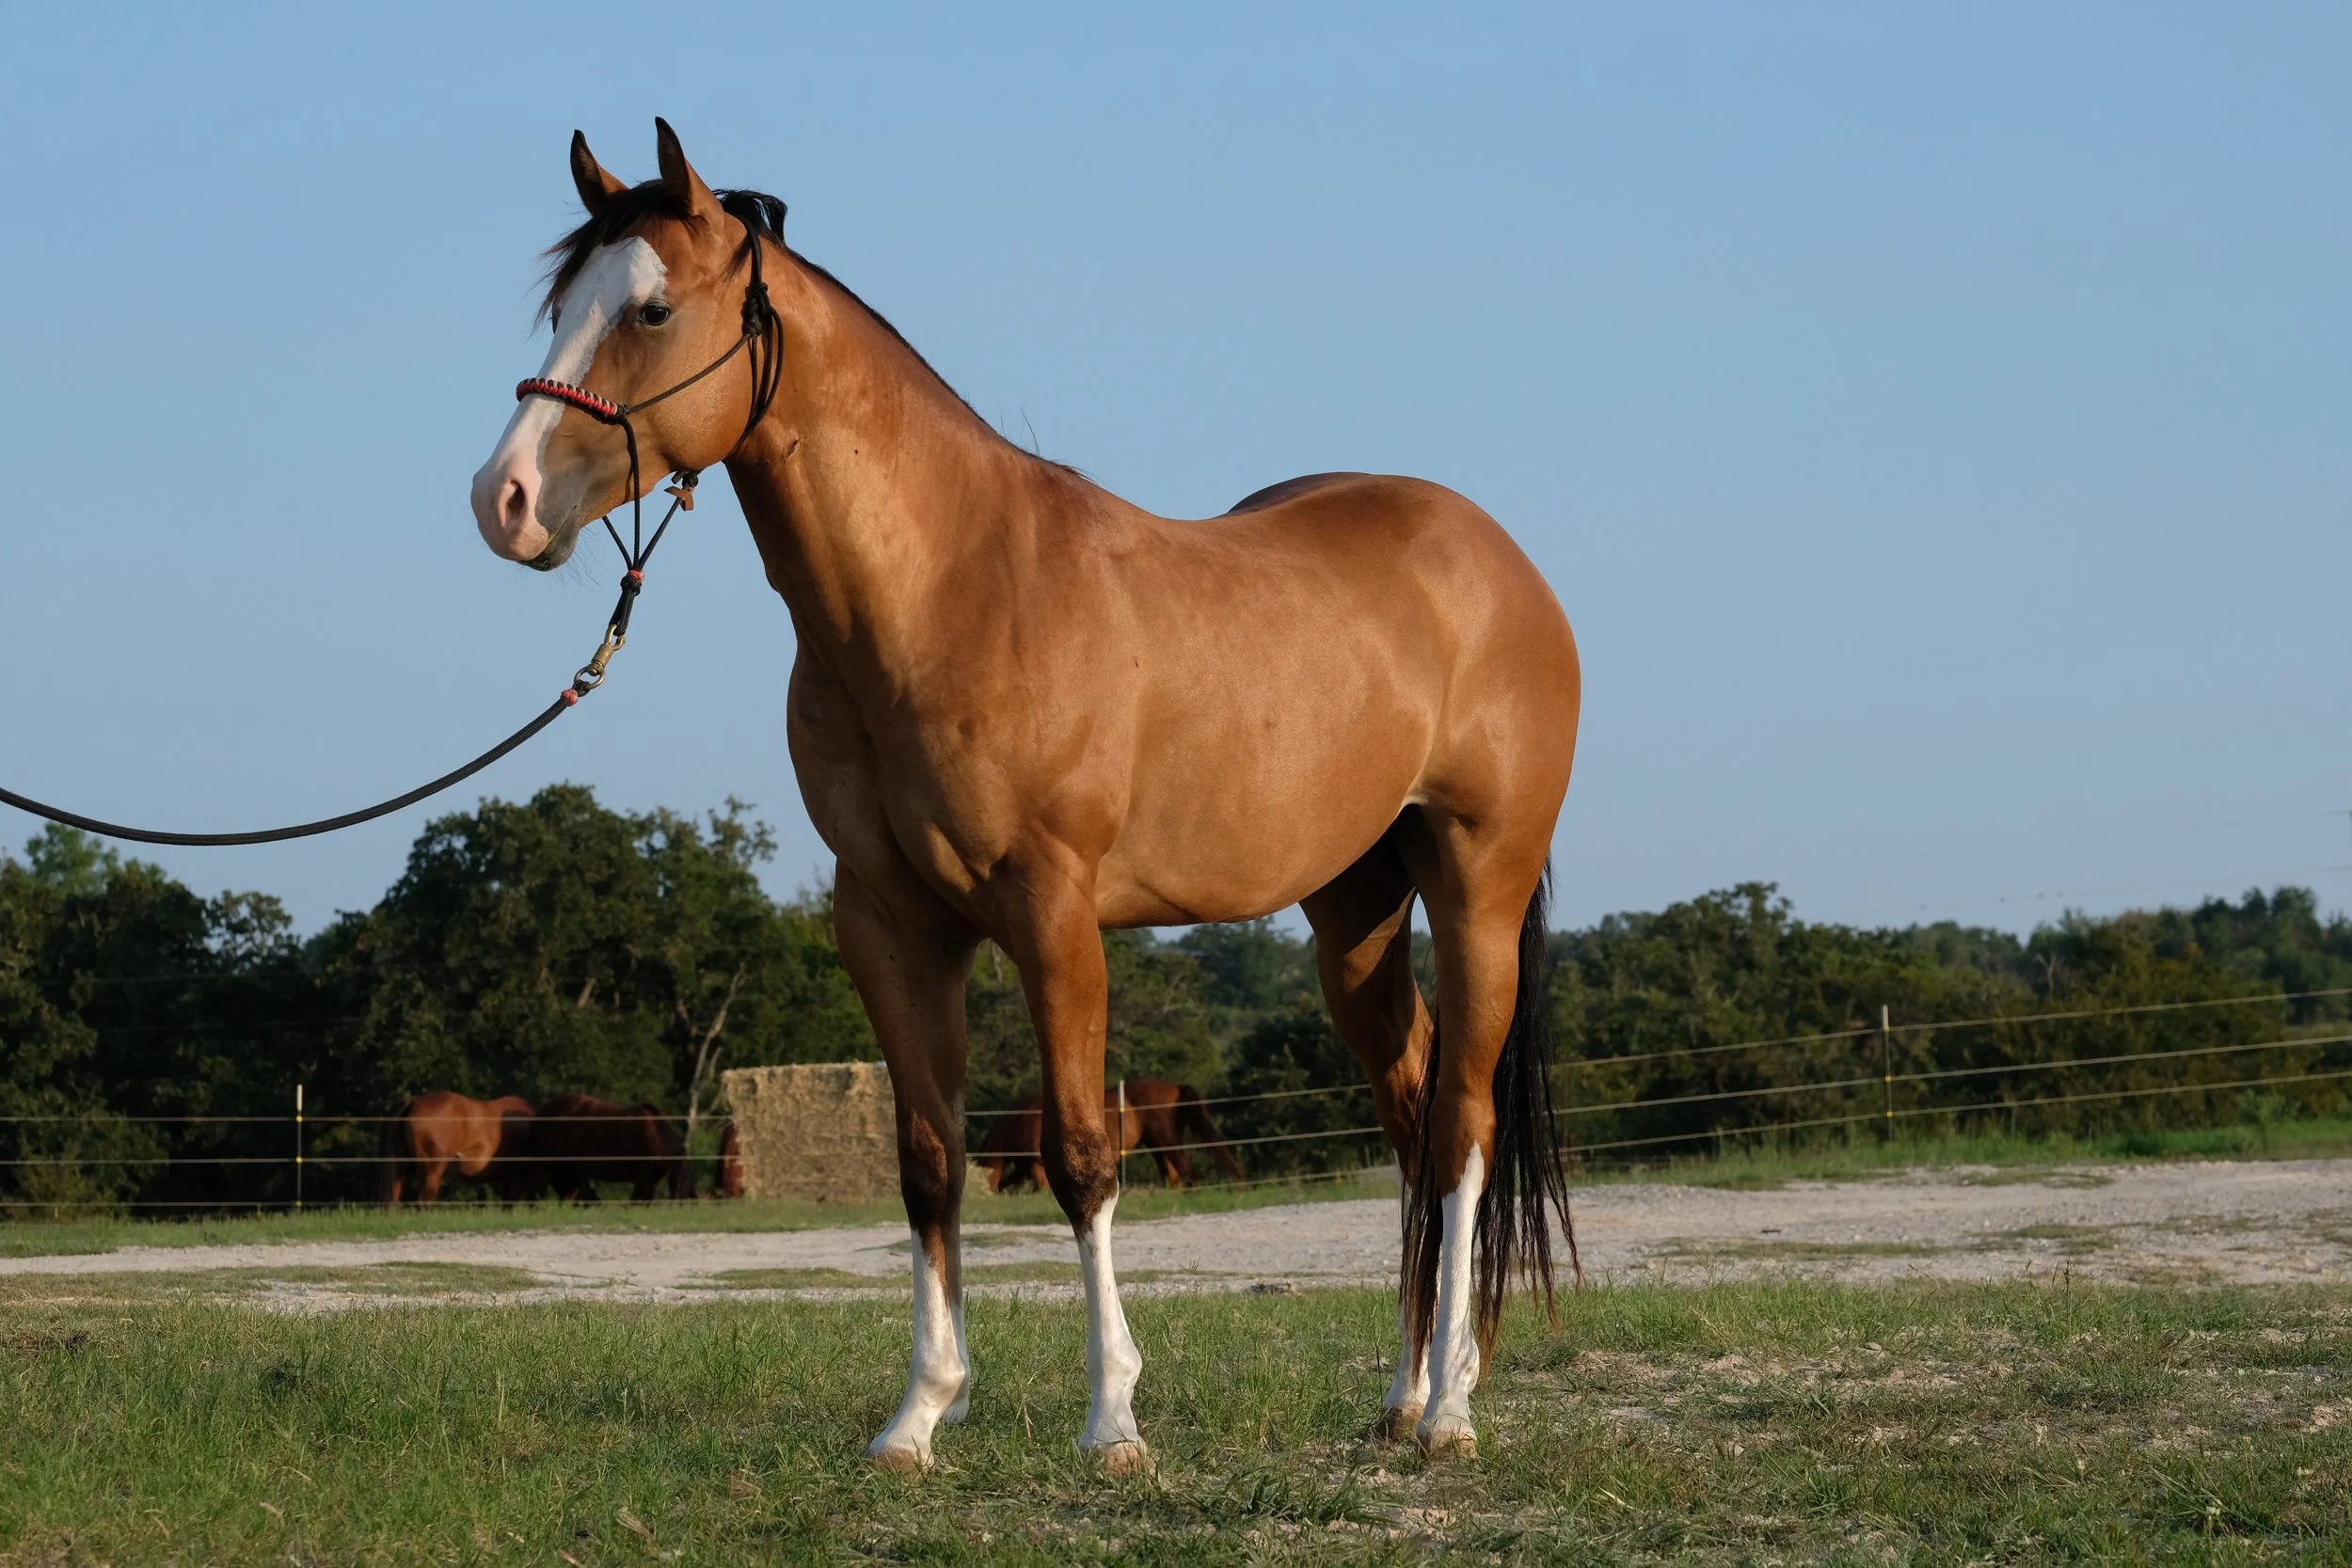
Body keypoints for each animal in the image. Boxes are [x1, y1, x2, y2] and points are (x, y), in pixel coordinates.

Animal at [522, 1093, 692, 1203]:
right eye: (681, 1180)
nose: (682, 1202)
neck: (655, 1135)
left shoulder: (651, 1179)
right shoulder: (643, 1178)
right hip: (549, 1168)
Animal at [977, 1080, 1245, 1193]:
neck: (1022, 1120)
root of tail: (1176, 1087)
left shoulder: (1036, 1166)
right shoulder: (1024, 1167)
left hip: (1165, 1140)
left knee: (1186, 1169)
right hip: (1158, 1146)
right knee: (1173, 1174)